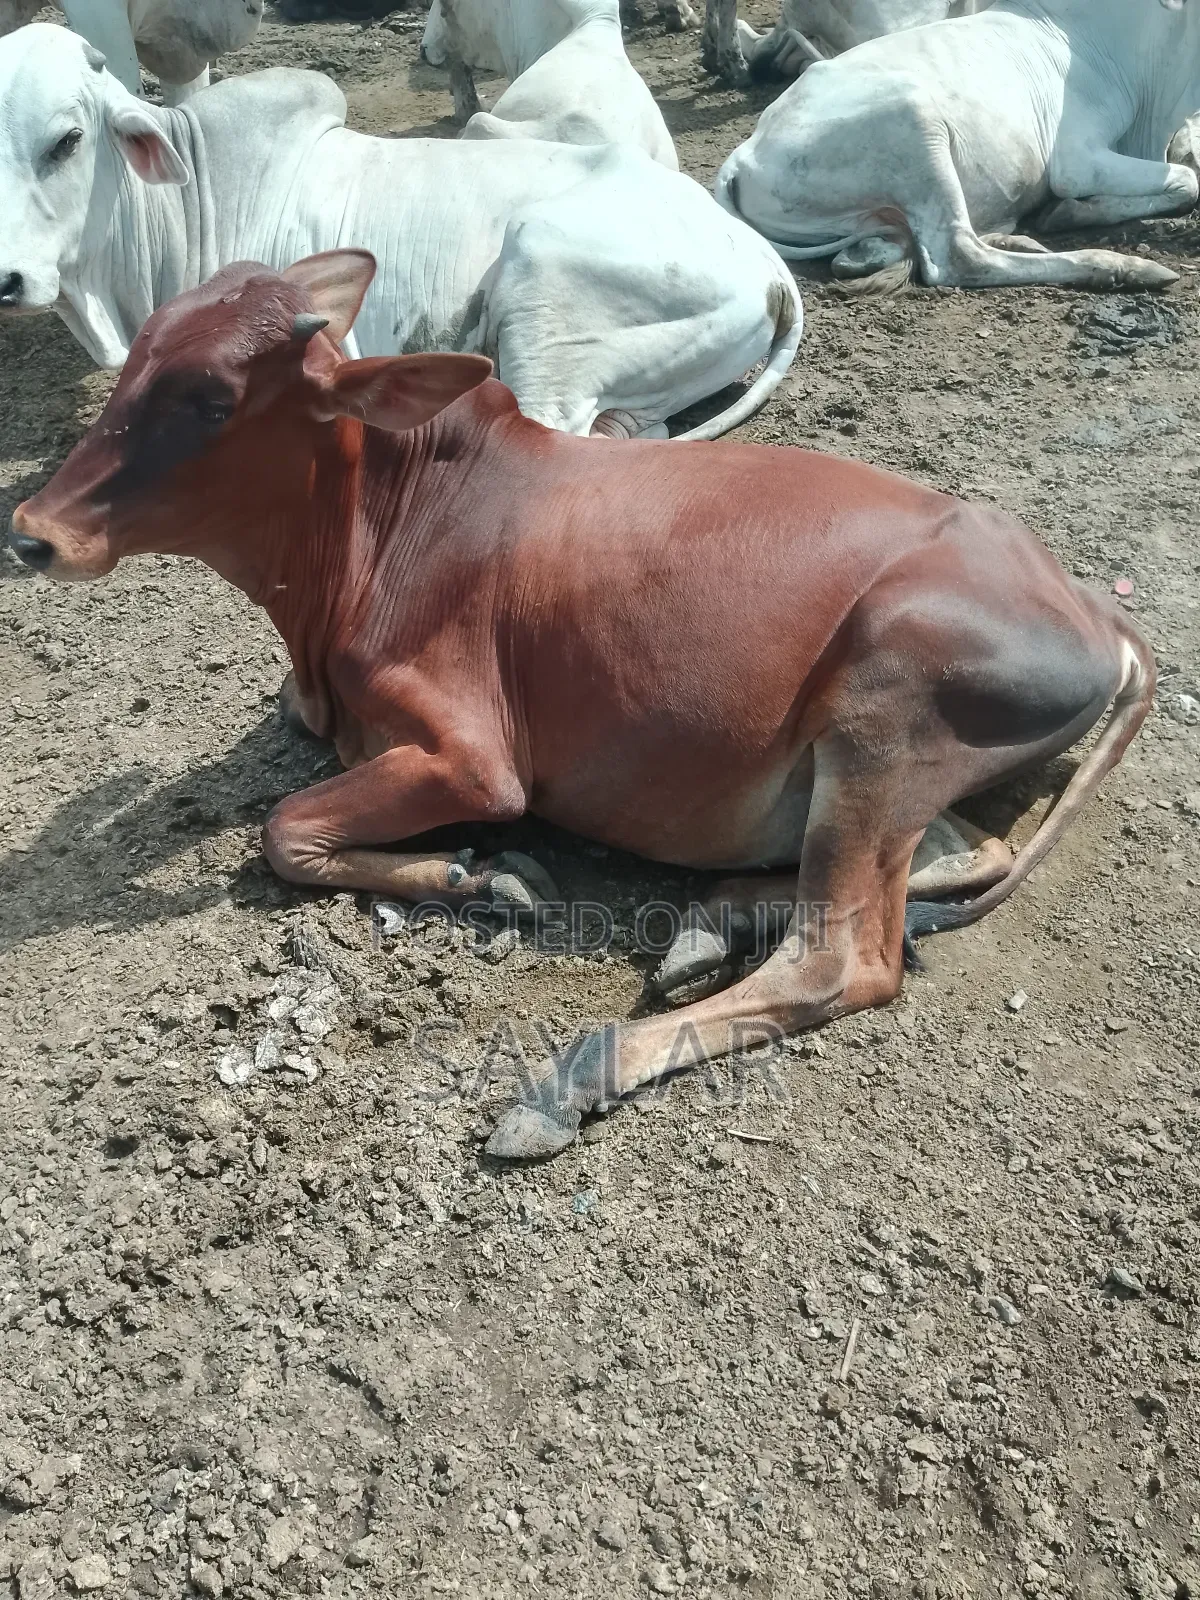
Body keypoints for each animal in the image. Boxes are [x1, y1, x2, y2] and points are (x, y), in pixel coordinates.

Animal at [9, 250, 1156, 1159]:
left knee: (844, 957)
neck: (384, 526)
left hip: (880, 712)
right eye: (134, 360)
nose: (31, 532)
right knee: (968, 850)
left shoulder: (476, 761)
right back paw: (712, 918)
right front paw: (477, 876)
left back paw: (573, 1077)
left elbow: (284, 831)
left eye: (211, 398)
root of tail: (1092, 606)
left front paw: (480, 876)